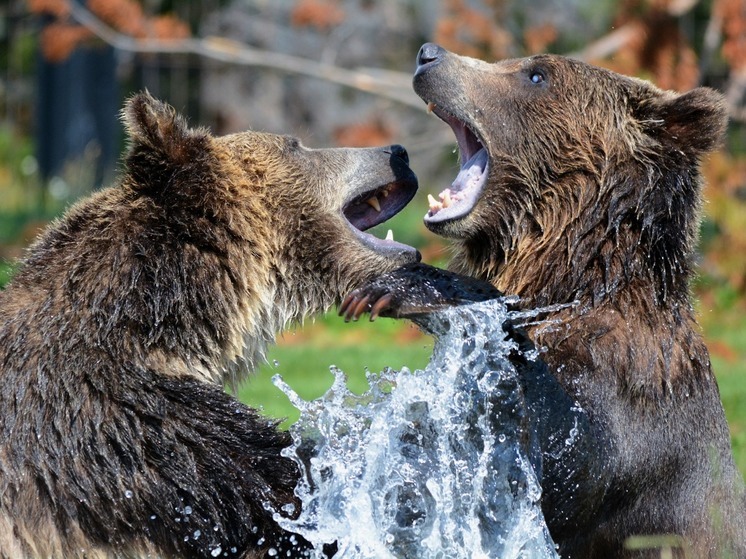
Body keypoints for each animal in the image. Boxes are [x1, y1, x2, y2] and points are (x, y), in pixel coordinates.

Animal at [342, 44, 744, 559]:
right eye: (511, 62)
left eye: (536, 75)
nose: (430, 55)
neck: (573, 281)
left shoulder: (631, 394)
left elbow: (562, 458)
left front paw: (401, 286)